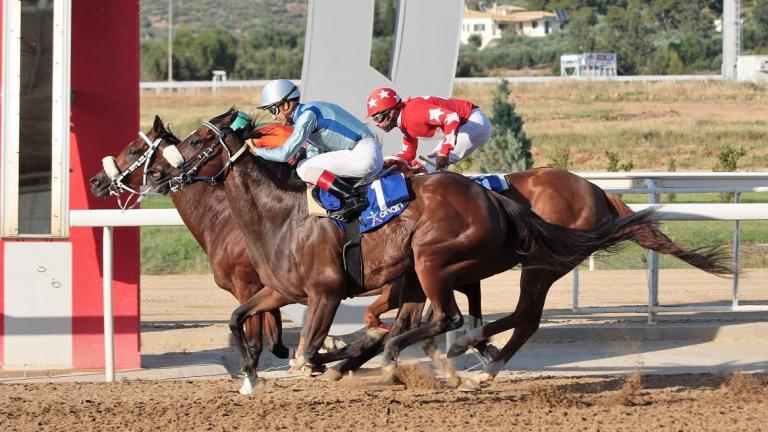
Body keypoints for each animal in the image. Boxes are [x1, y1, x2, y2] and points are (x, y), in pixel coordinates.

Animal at [147, 109, 664, 390]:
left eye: (196, 140)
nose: (160, 174)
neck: (282, 214)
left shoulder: (327, 292)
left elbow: (310, 350)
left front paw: (337, 360)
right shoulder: (279, 289)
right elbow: (241, 320)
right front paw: (251, 377)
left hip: (445, 261)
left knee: (472, 318)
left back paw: (457, 356)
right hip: (436, 268)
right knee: (477, 319)